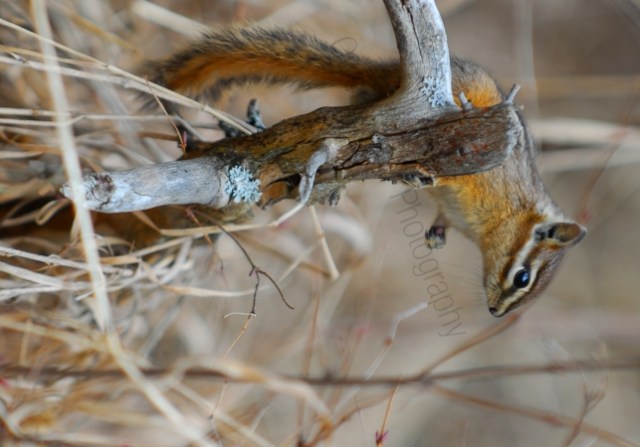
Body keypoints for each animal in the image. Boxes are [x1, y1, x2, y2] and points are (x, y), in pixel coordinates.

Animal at [141, 26, 586, 317]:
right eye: (523, 278)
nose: (495, 313)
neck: (503, 222)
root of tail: (388, 71)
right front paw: (433, 178)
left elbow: (442, 216)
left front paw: (436, 235)